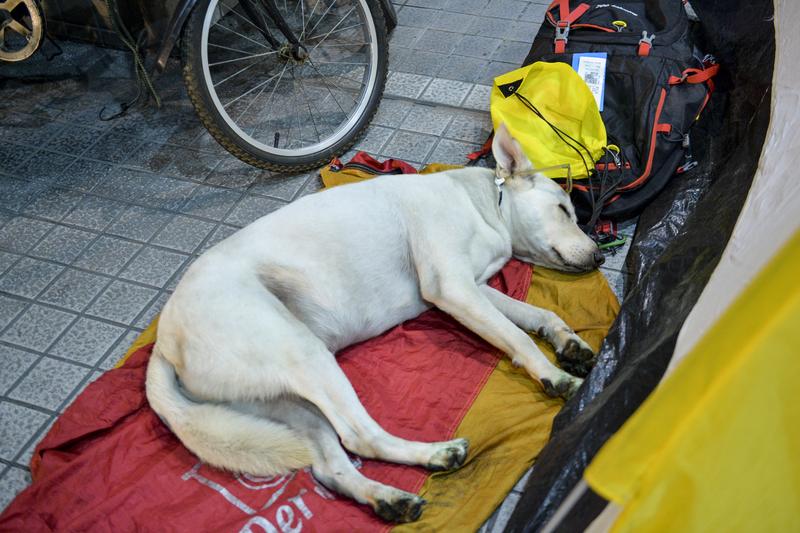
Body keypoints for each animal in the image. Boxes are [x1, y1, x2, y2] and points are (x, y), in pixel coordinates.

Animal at [147, 123, 604, 520]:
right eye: (564, 210)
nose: (600, 256)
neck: (485, 205)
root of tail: (163, 343)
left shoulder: (472, 290)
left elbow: (539, 315)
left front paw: (569, 344)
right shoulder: (453, 287)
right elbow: (519, 339)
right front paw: (554, 376)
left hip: (293, 403)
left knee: (330, 466)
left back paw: (389, 497)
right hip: (306, 355)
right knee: (358, 436)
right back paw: (435, 454)